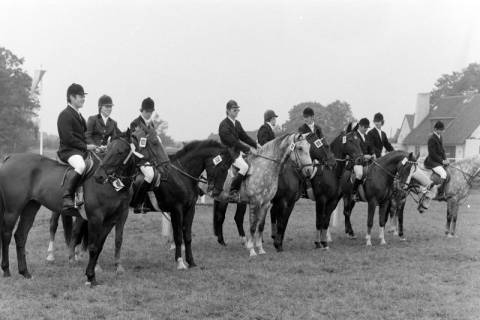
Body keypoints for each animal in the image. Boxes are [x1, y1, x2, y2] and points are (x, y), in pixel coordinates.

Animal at [0, 129, 155, 284]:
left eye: (121, 152)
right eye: (108, 149)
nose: (99, 176)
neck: (113, 187)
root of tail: (10, 157)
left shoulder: (115, 218)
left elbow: (106, 244)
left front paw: (104, 270)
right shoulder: (95, 218)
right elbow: (93, 246)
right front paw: (91, 277)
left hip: (30, 207)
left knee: (20, 236)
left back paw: (25, 272)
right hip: (13, 210)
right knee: (7, 234)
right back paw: (6, 270)